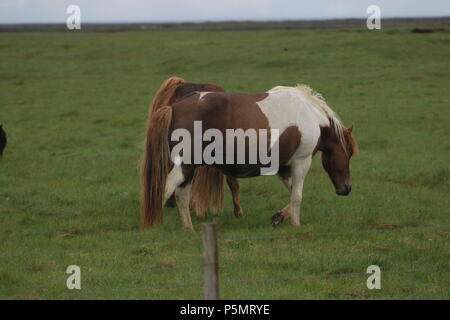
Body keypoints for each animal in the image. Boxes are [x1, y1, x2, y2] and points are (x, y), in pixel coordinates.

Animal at [139, 84, 356, 231]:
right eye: (349, 154)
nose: (346, 189)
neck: (310, 115)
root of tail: (173, 108)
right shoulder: (300, 163)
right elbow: (297, 196)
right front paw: (296, 224)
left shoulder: (284, 167)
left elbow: (292, 194)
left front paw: (279, 216)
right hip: (185, 165)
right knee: (166, 188)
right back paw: (155, 225)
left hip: (190, 167)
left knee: (181, 196)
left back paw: (188, 229)